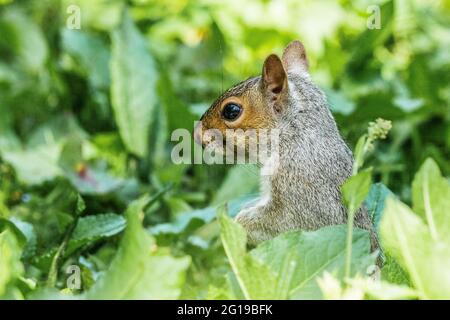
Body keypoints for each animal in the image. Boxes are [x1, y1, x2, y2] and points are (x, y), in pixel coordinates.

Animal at [193, 40, 380, 255]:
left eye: (231, 111)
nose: (197, 134)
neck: (291, 138)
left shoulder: (302, 195)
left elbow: (285, 223)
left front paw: (237, 224)